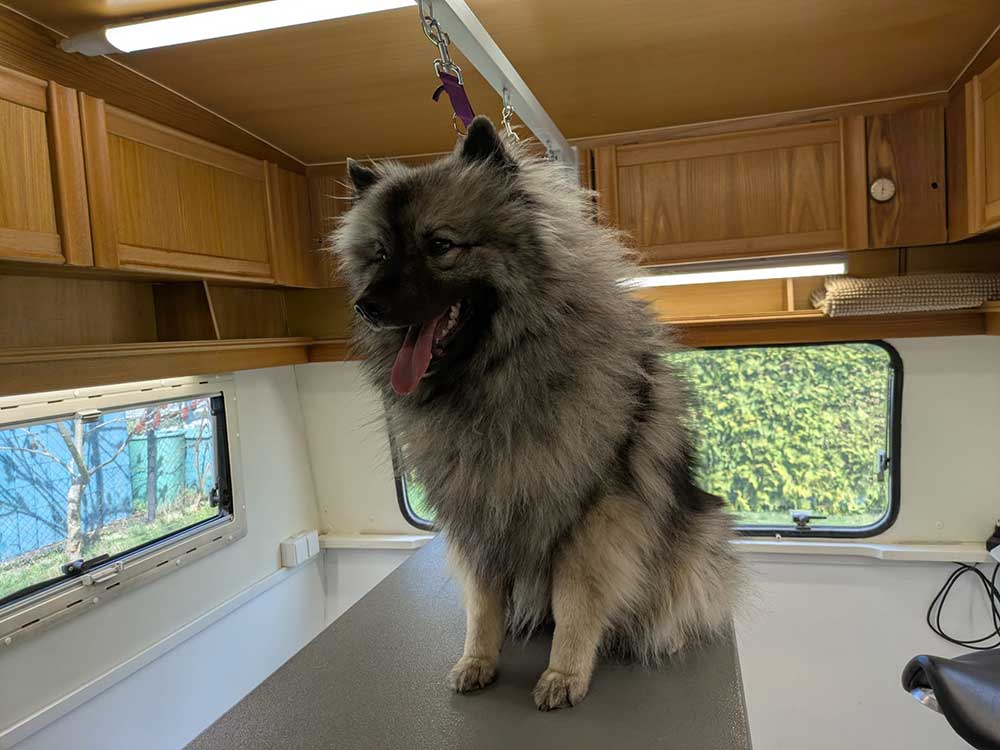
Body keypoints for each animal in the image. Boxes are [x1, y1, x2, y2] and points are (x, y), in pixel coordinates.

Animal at [333, 116, 742, 711]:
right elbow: (483, 604)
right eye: (380, 253)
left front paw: (565, 673)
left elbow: (576, 602)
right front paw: (478, 659)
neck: (495, 379)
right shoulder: (480, 515)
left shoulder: (592, 517)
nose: (366, 305)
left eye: (440, 245)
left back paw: (664, 634)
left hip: (699, 533)